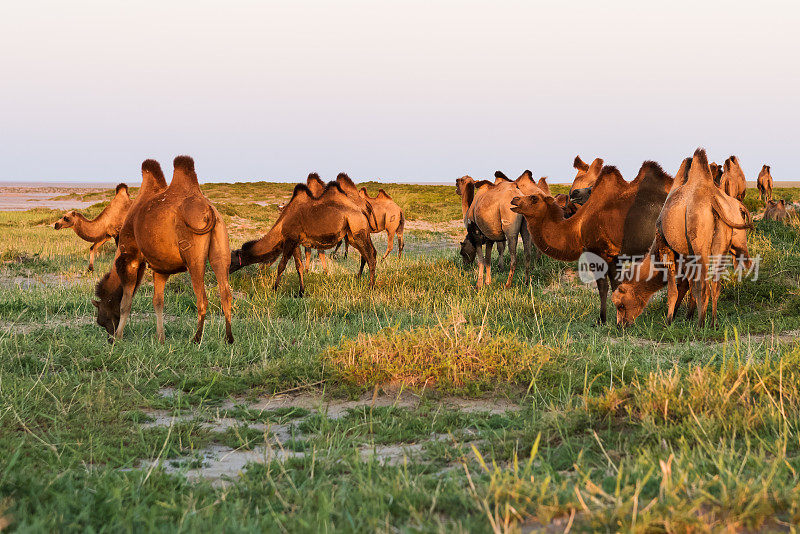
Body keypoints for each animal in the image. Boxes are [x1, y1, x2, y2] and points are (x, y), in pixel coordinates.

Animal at [93, 157, 233, 346]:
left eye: (101, 319)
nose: (109, 338)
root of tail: (208, 211)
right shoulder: (160, 267)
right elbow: (158, 301)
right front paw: (161, 338)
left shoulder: (130, 259)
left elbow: (125, 302)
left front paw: (120, 337)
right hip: (221, 245)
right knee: (226, 293)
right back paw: (229, 338)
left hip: (194, 255)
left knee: (202, 298)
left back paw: (196, 339)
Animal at [225, 182, 376, 296]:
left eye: (231, 261)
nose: (225, 274)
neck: (281, 225)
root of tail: (363, 210)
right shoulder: (295, 243)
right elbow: (299, 267)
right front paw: (301, 292)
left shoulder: (290, 241)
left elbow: (281, 265)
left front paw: (274, 289)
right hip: (351, 234)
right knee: (366, 254)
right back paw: (359, 278)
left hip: (358, 229)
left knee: (371, 255)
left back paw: (370, 287)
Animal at [510, 161, 672, 324]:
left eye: (534, 198)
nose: (514, 199)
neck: (577, 227)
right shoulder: (614, 256)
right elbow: (616, 285)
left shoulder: (597, 252)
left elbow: (603, 286)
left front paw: (602, 320)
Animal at [648, 149, 756, 328]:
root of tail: (713, 201)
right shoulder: (686, 253)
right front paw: (686, 316)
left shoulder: (666, 246)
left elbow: (673, 289)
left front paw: (669, 320)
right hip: (721, 243)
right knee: (715, 284)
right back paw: (713, 323)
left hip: (699, 240)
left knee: (703, 284)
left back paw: (700, 323)